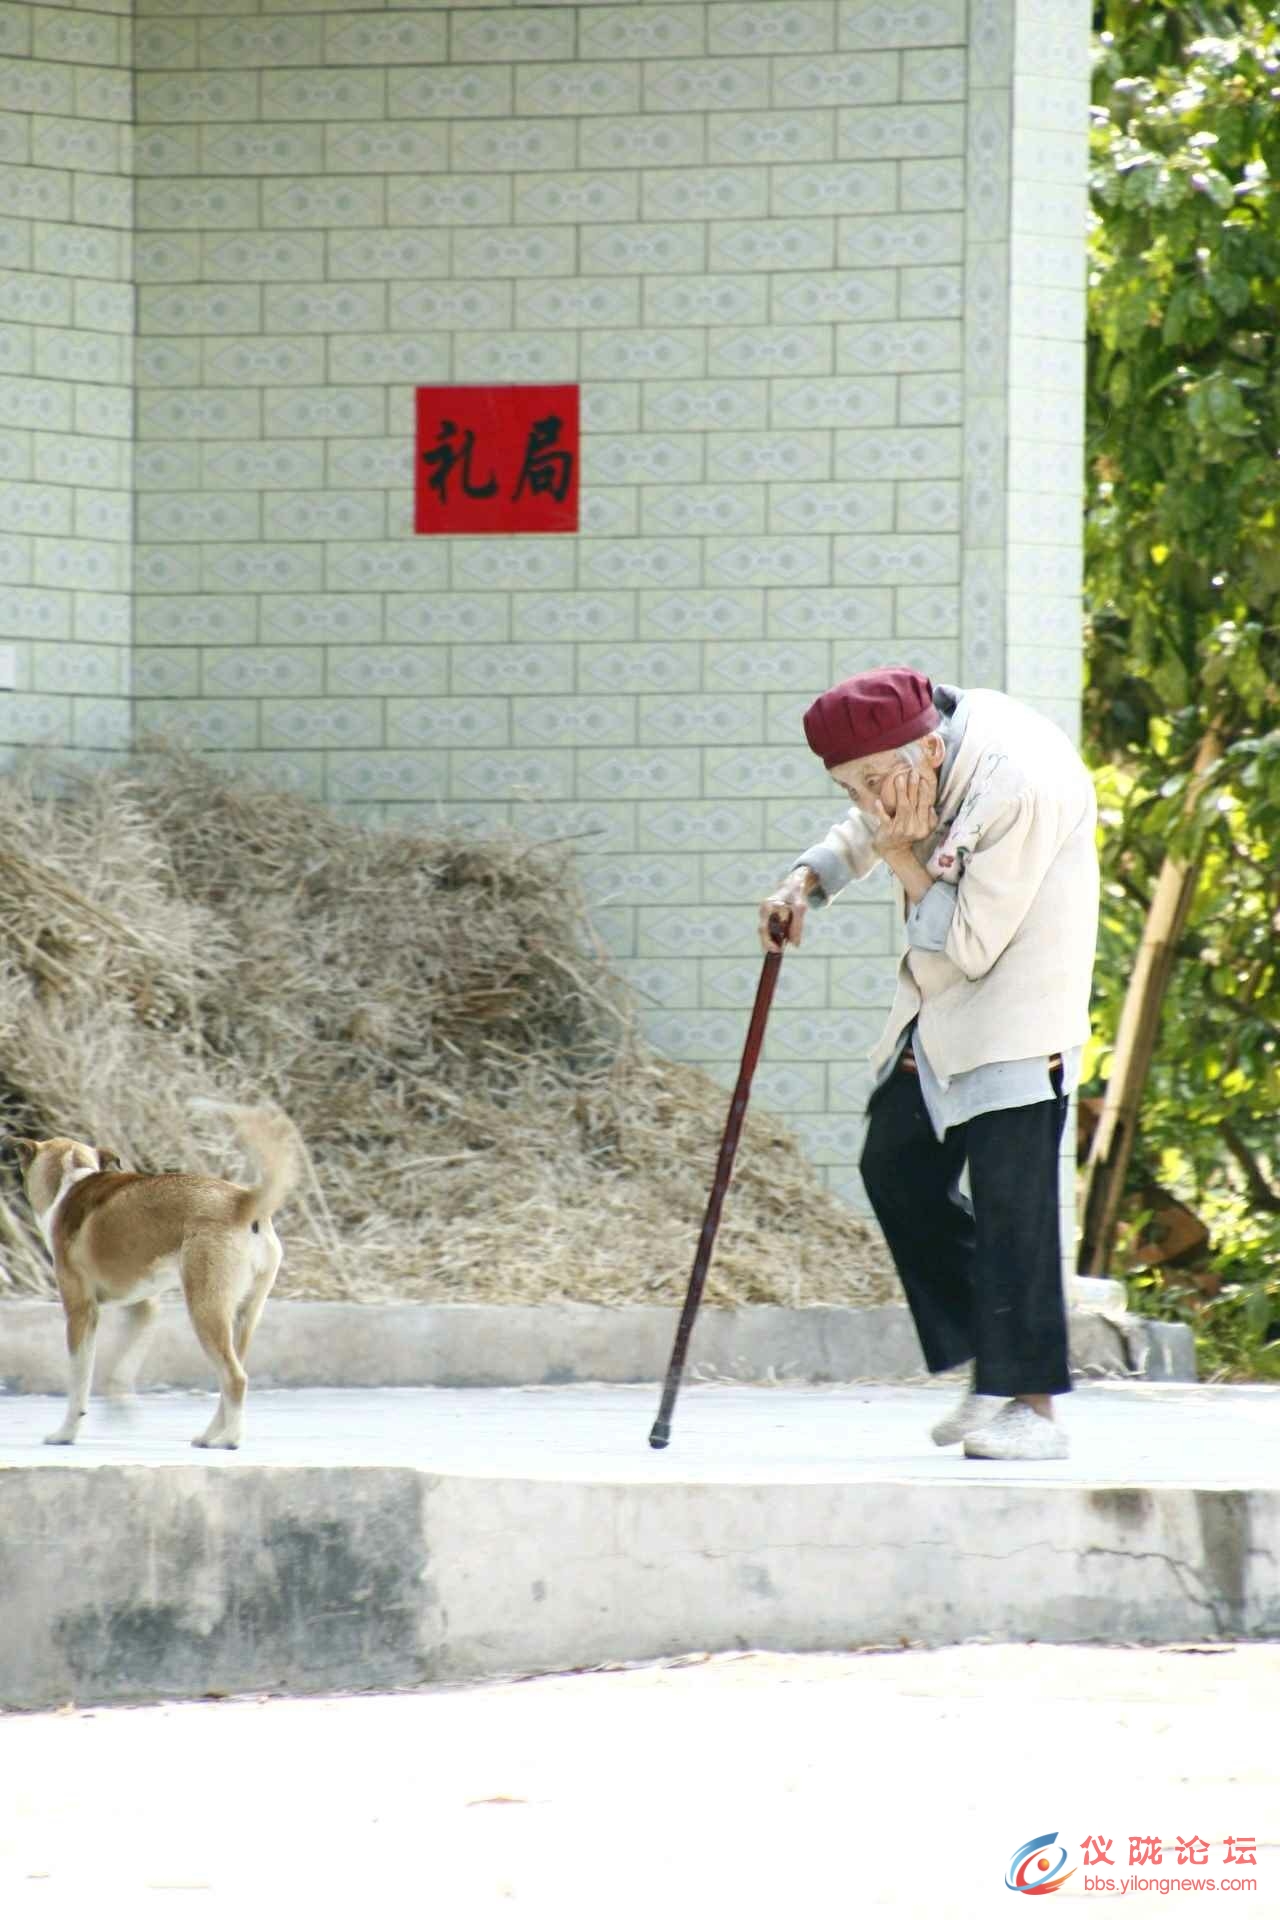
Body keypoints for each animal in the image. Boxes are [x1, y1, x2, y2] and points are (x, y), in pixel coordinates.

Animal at [8, 1105, 303, 1443]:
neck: (72, 1181)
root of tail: (242, 1201)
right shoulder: (144, 1308)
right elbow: (121, 1366)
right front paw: (120, 1406)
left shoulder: (81, 1312)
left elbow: (80, 1382)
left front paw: (66, 1433)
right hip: (243, 1317)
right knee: (231, 1376)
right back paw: (209, 1437)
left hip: (206, 1309)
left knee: (235, 1378)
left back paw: (230, 1439)